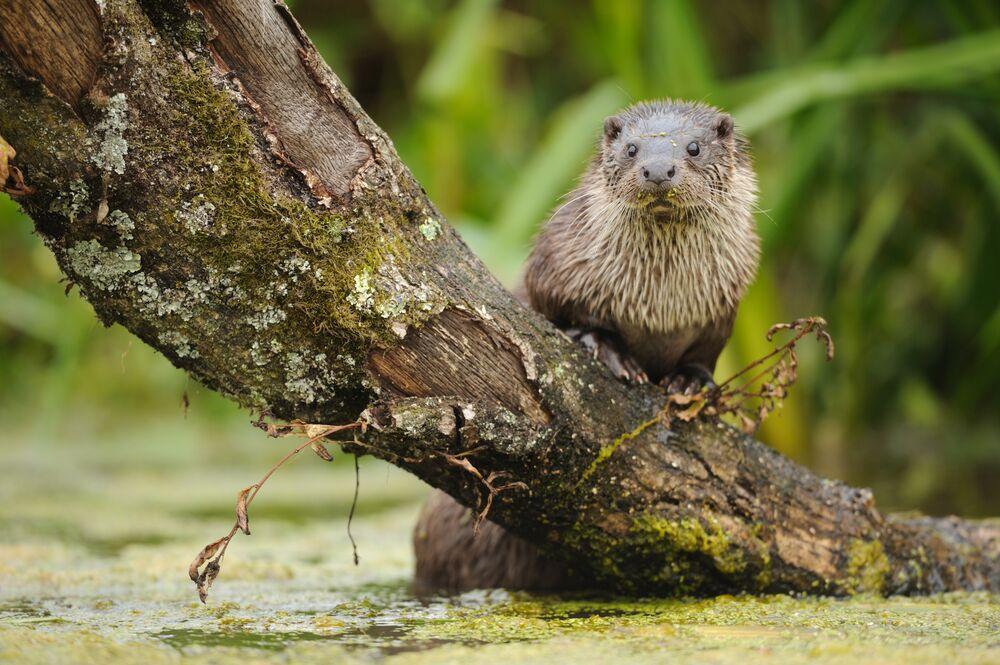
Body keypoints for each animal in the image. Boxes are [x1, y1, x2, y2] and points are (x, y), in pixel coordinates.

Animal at [413, 100, 760, 592]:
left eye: (693, 147)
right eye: (632, 148)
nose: (658, 169)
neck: (661, 304)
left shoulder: (724, 303)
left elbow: (703, 355)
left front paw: (689, 382)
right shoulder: (555, 264)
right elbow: (557, 310)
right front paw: (606, 347)